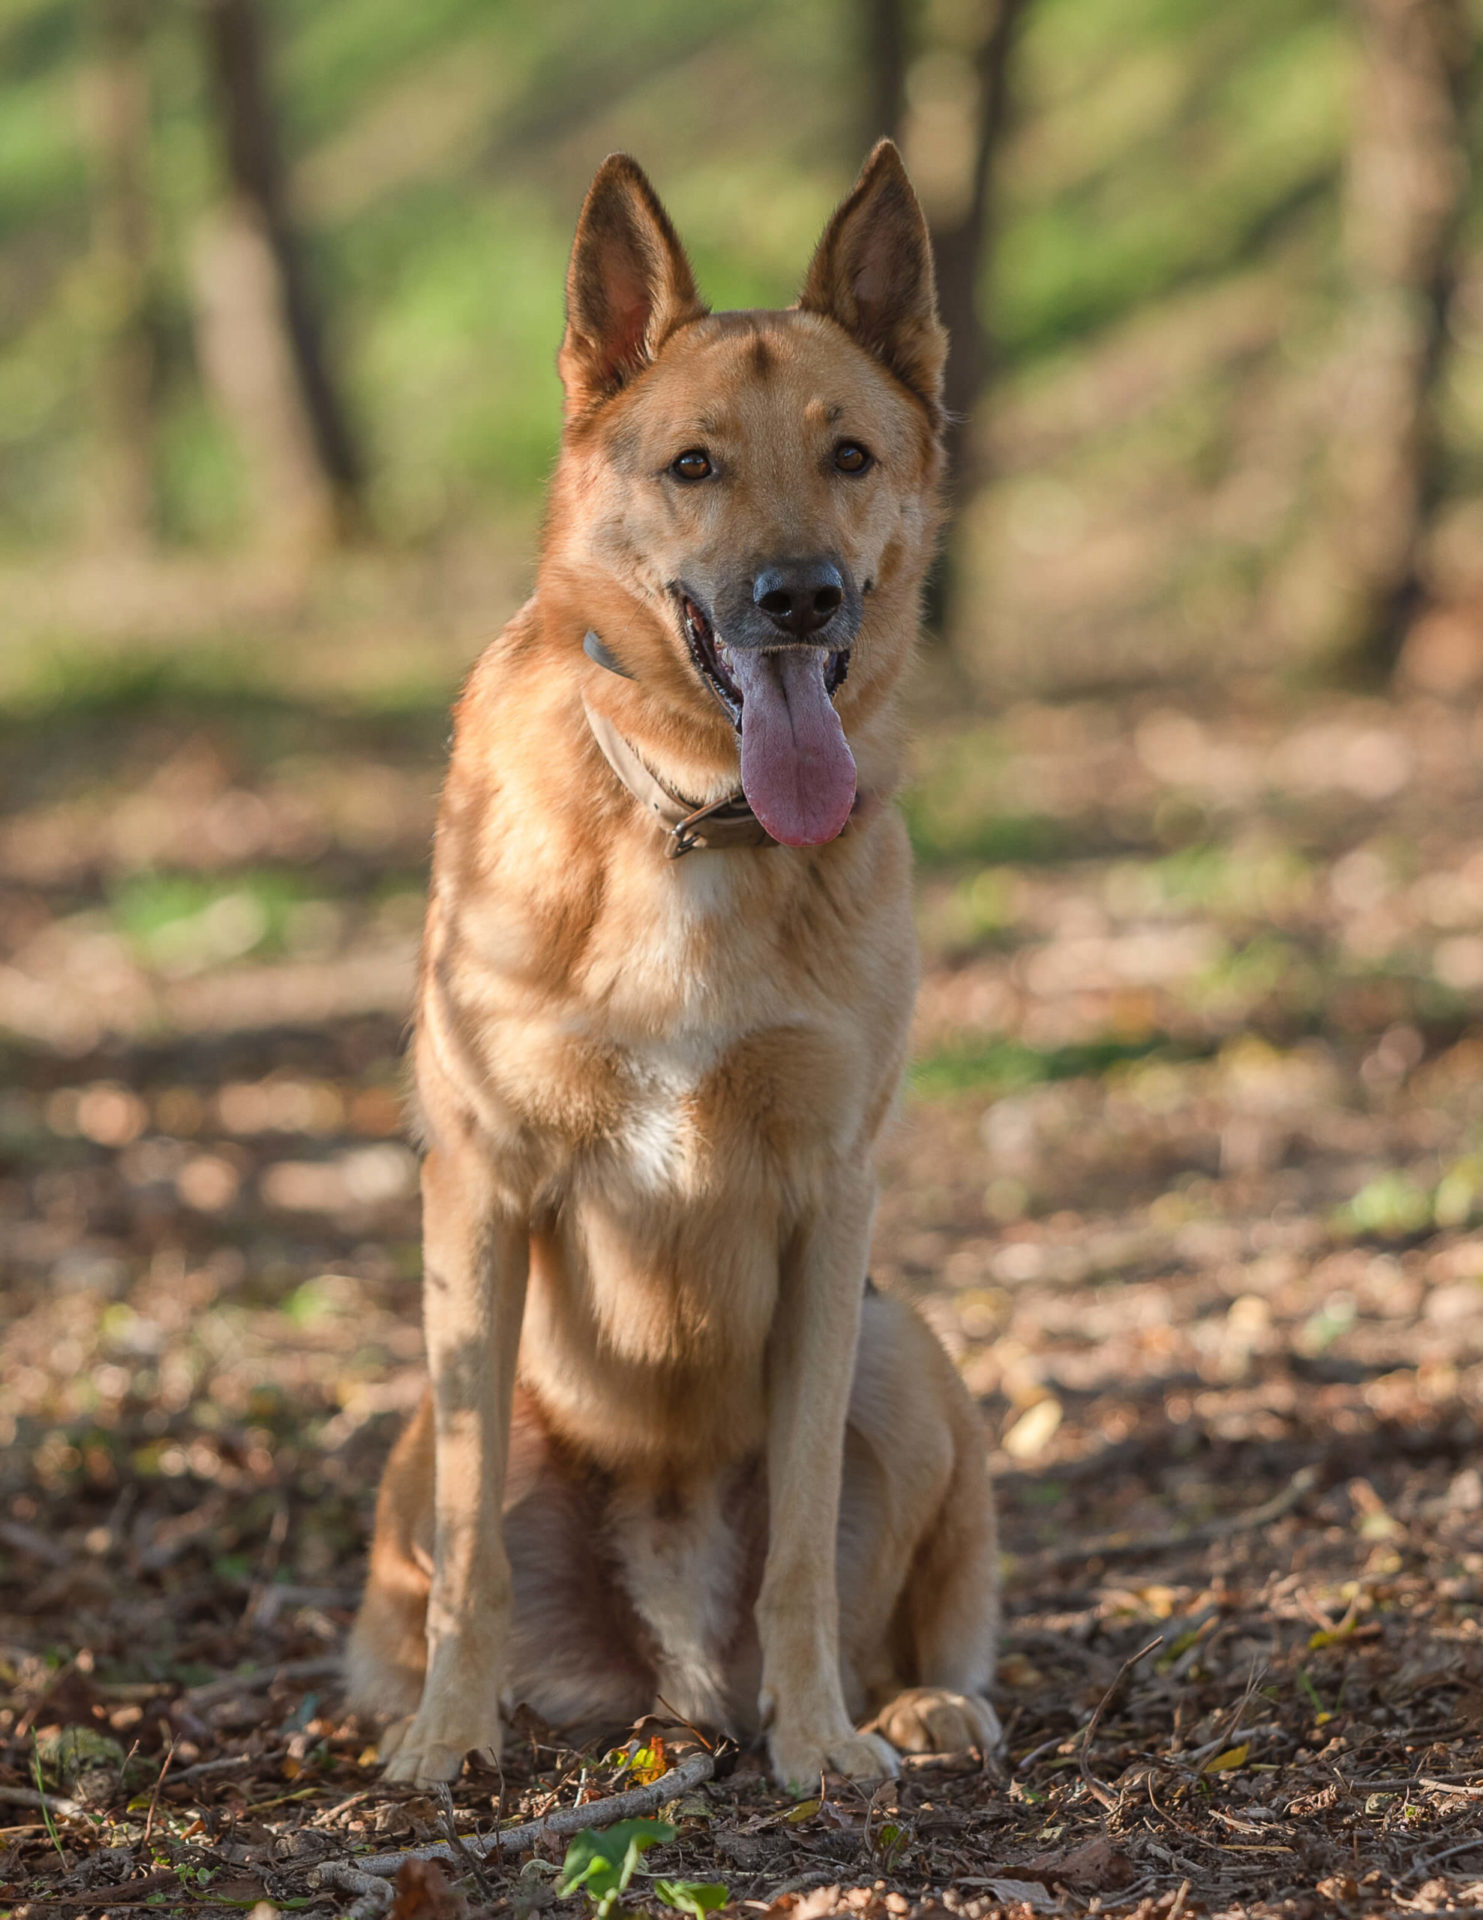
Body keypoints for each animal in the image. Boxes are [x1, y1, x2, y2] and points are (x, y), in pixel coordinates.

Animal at [341, 142, 998, 1789]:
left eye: (849, 456)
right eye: (694, 466)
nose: (800, 597)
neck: (695, 823)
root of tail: (672, 1675)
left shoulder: (834, 1200)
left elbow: (803, 1553)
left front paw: (820, 1745)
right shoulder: (481, 1187)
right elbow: (472, 1553)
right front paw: (447, 1738)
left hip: (902, 1346)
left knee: (913, 1611)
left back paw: (911, 1705)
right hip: (435, 1407)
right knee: (449, 1541)